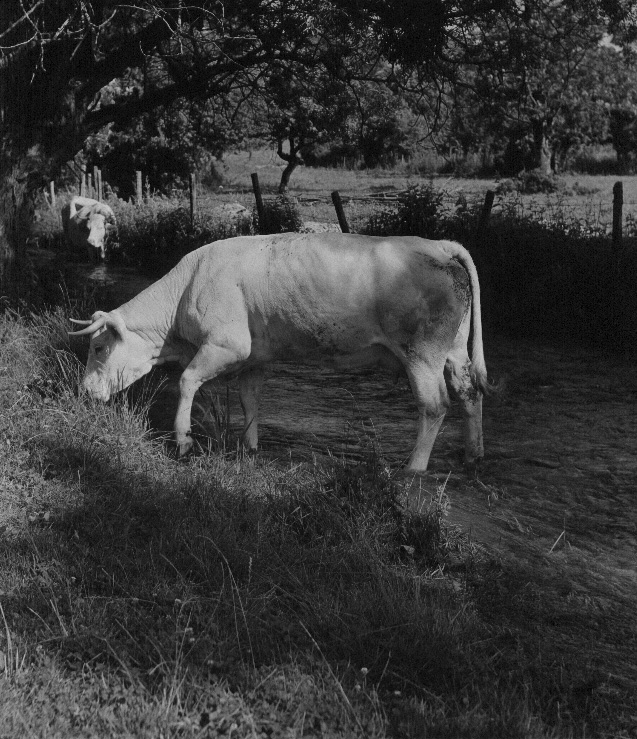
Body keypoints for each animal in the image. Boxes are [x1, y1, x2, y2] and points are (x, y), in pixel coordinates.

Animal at [69, 233, 495, 472]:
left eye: (99, 347)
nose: (84, 393)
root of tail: (437, 245)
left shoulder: (227, 344)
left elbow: (186, 381)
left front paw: (184, 442)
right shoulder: (254, 356)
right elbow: (249, 398)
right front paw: (251, 446)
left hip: (421, 353)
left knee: (435, 406)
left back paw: (414, 469)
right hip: (453, 351)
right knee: (470, 393)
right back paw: (473, 456)